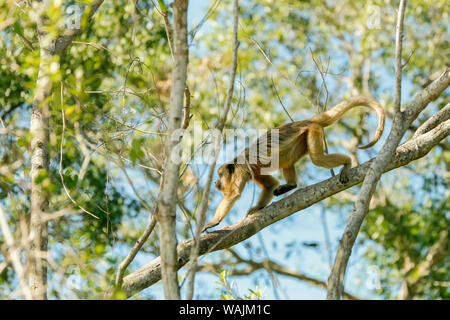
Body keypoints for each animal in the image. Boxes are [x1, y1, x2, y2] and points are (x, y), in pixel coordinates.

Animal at [202, 96, 384, 231]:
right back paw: (291, 185)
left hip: (313, 131)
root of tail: (305, 121)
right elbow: (270, 185)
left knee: (317, 159)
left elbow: (233, 194)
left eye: (220, 175)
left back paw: (347, 163)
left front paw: (213, 222)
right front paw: (258, 208)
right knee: (288, 161)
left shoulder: (241, 170)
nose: (216, 181)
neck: (235, 165)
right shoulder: (253, 173)